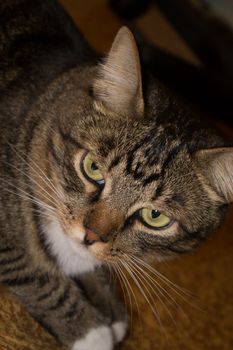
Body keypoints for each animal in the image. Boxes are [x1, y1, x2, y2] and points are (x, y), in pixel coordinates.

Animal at [0, 0, 233, 350]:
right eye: (93, 168)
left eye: (155, 216)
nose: (91, 235)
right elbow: (32, 269)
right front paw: (90, 331)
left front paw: (109, 306)